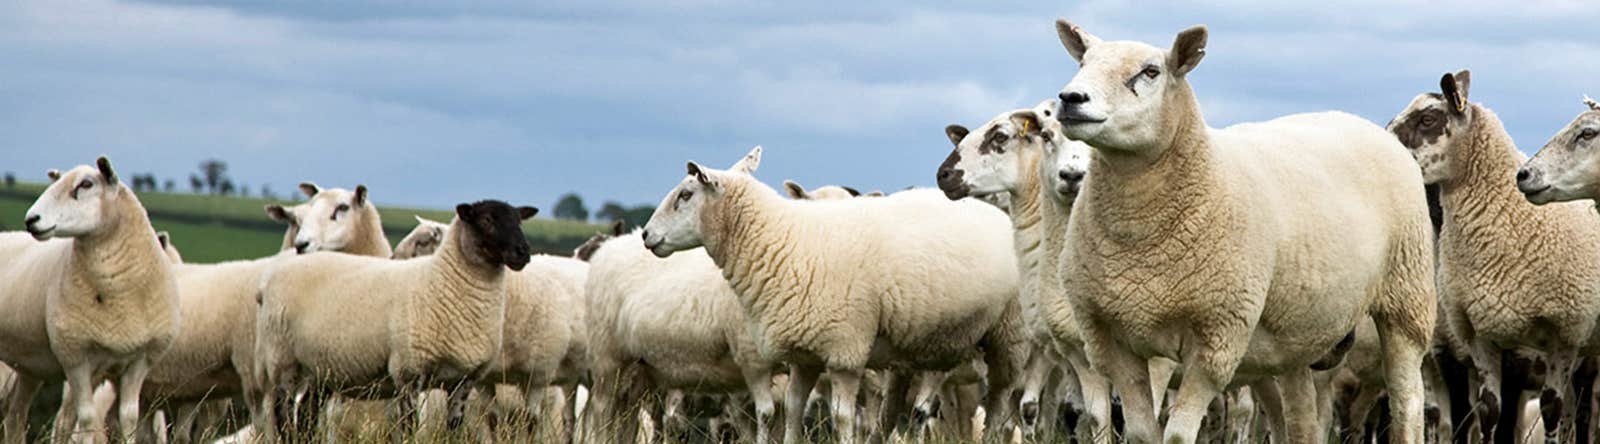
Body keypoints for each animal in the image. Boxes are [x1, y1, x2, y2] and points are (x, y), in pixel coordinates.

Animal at [3, 157, 182, 443]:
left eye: (86, 184)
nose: (31, 219)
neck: (118, 298)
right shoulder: (75, 357)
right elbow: (86, 419)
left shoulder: (140, 360)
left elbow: (128, 418)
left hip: (28, 364)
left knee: (15, 417)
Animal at [255, 200, 535, 441]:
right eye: (487, 219)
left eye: (519, 221)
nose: (523, 252)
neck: (442, 279)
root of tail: (270, 279)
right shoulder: (409, 372)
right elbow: (409, 428)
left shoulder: (464, 381)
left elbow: (453, 430)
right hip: (283, 361)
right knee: (282, 417)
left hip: (319, 371)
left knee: (306, 416)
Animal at [640, 146, 1027, 444]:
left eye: (685, 195)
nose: (645, 235)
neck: (780, 240)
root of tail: (996, 212)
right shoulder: (803, 355)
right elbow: (793, 411)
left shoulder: (845, 350)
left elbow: (842, 418)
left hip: (1009, 335)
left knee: (1001, 405)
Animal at [1049, 21, 1436, 443]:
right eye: (1083, 62)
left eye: (1151, 71)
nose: (1070, 98)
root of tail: (1360, 120)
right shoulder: (1109, 341)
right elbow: (1141, 433)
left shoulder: (1216, 338)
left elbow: (1178, 435)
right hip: (1293, 335)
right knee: (1300, 421)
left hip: (1407, 298)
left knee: (1406, 400)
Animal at [1386, 70, 1600, 442]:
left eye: (1427, 119)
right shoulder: (1469, 341)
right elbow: (1482, 415)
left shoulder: (1560, 336)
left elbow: (1546, 410)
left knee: (1581, 413)